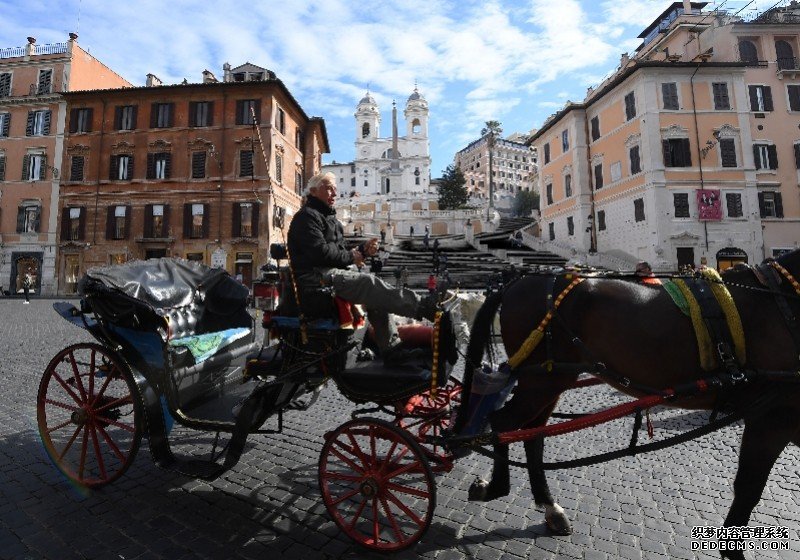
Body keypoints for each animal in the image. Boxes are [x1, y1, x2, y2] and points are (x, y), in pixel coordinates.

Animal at [460, 250, 800, 560]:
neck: (781, 302)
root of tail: (517, 280)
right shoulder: (772, 420)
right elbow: (748, 489)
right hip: (541, 380)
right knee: (505, 423)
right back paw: (496, 487)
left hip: (551, 379)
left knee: (532, 433)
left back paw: (550, 507)